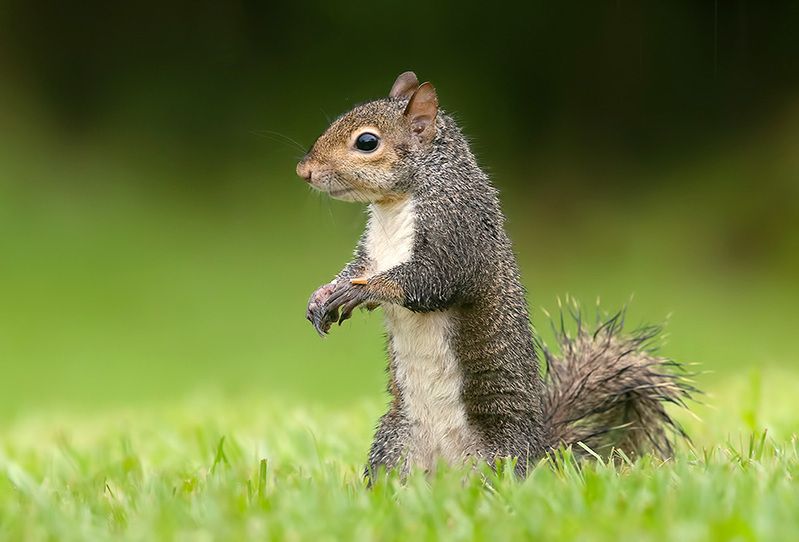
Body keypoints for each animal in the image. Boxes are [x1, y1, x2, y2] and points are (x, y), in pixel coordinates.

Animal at [296, 71, 695, 478]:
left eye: (367, 142)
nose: (304, 171)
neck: (395, 206)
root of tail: (540, 453)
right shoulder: (371, 252)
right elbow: (356, 269)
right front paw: (324, 294)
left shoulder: (457, 233)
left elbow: (427, 281)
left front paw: (360, 292)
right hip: (393, 447)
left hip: (499, 456)